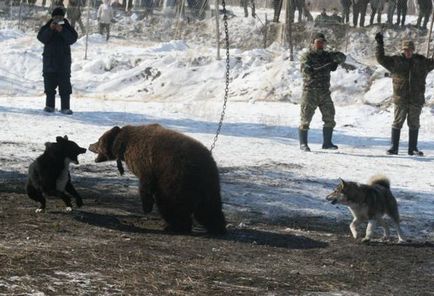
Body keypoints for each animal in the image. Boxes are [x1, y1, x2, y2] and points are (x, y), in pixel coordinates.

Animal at [87, 123, 225, 235]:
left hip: (176, 179)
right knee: (209, 209)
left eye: (98, 140)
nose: (89, 145)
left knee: (170, 203)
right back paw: (217, 228)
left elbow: (145, 183)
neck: (123, 145)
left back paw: (176, 227)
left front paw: (146, 207)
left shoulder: (146, 162)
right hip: (209, 185)